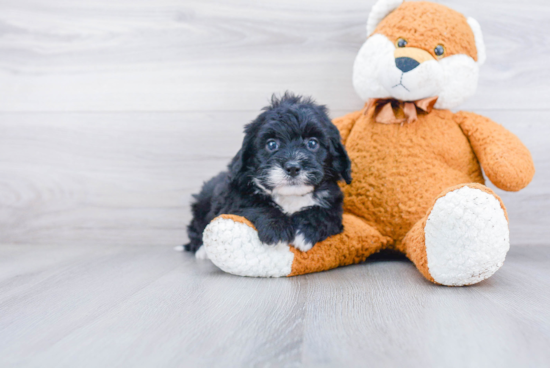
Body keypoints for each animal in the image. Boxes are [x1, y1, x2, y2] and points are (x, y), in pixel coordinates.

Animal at [187, 93, 354, 258]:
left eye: (312, 143)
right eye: (272, 144)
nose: (293, 167)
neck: (290, 196)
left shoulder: (334, 203)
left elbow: (325, 213)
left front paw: (303, 232)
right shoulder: (232, 197)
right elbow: (254, 204)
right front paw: (276, 229)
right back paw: (201, 250)